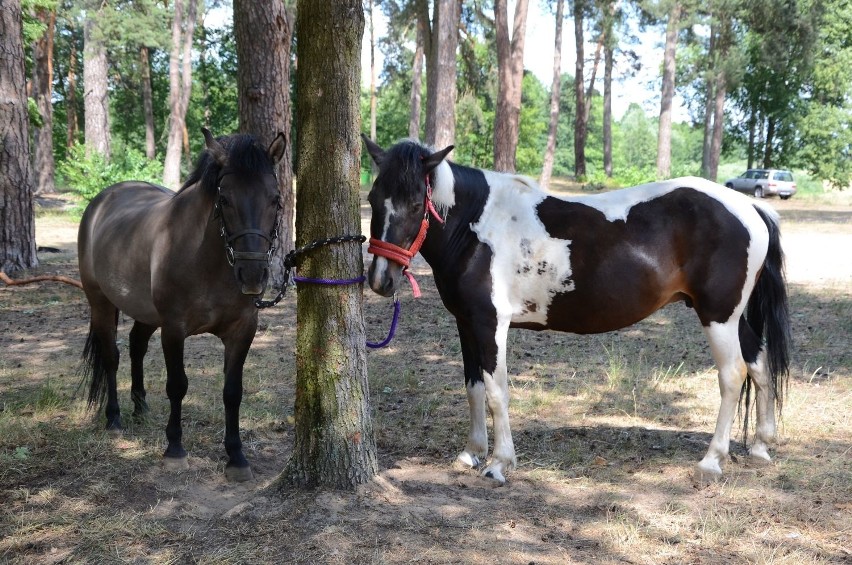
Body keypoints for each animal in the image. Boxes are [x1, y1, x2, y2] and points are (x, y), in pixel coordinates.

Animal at [77, 129, 282, 480]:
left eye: (275, 199)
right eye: (224, 200)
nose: (253, 275)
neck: (207, 260)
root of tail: (101, 201)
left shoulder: (242, 331)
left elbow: (233, 391)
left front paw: (237, 457)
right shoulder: (173, 329)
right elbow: (177, 385)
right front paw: (174, 449)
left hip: (146, 313)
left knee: (136, 346)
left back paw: (141, 408)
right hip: (101, 302)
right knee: (111, 357)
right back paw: (114, 419)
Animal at [362, 137, 792, 484]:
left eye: (416, 203)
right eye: (372, 199)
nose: (381, 280)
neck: (476, 226)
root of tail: (750, 207)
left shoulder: (490, 325)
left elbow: (497, 391)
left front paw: (499, 463)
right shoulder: (466, 324)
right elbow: (474, 388)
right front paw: (472, 453)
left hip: (718, 316)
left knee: (733, 375)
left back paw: (711, 461)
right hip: (732, 317)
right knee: (759, 362)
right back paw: (760, 446)